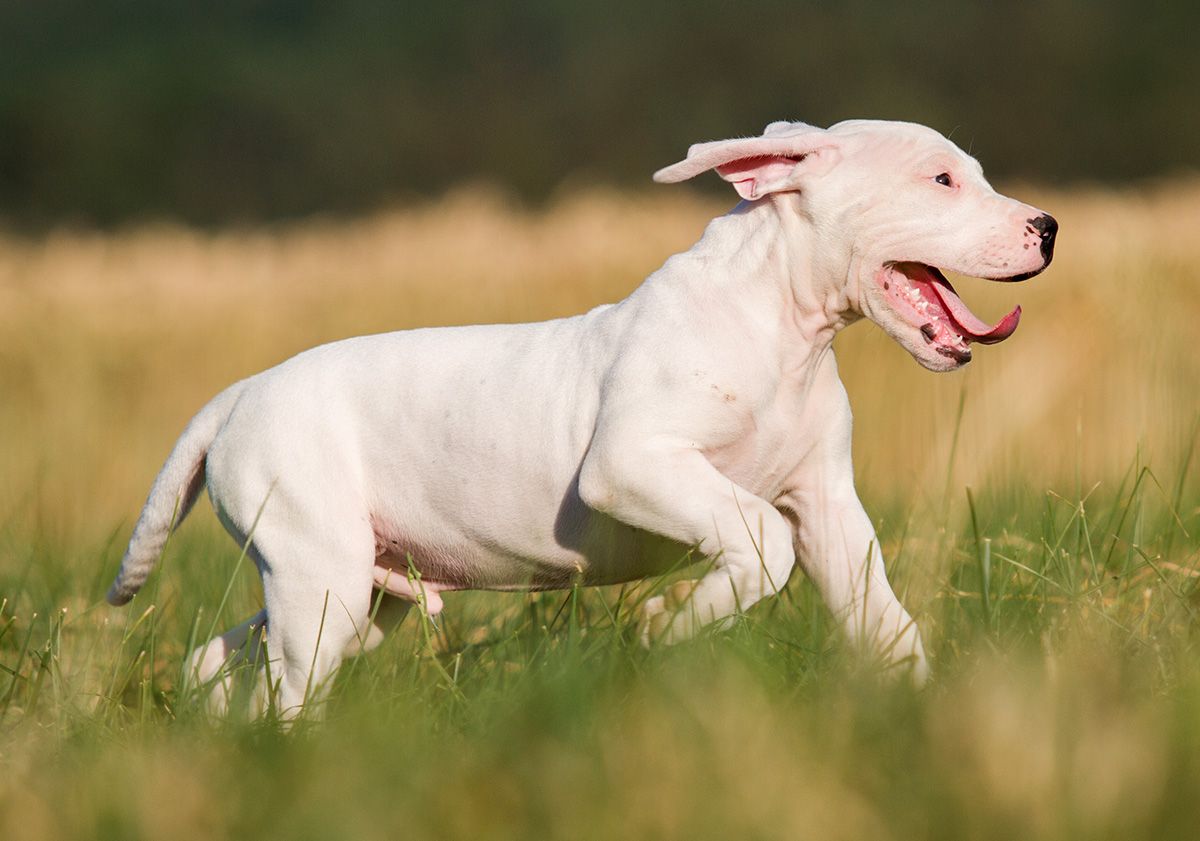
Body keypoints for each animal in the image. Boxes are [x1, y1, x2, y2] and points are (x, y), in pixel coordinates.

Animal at [108, 116, 1056, 710]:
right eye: (940, 180)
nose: (1048, 227)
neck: (783, 326)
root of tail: (237, 395)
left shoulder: (828, 505)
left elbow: (884, 619)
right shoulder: (633, 467)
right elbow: (758, 539)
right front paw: (673, 623)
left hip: (357, 594)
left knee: (223, 660)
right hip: (322, 576)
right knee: (285, 689)